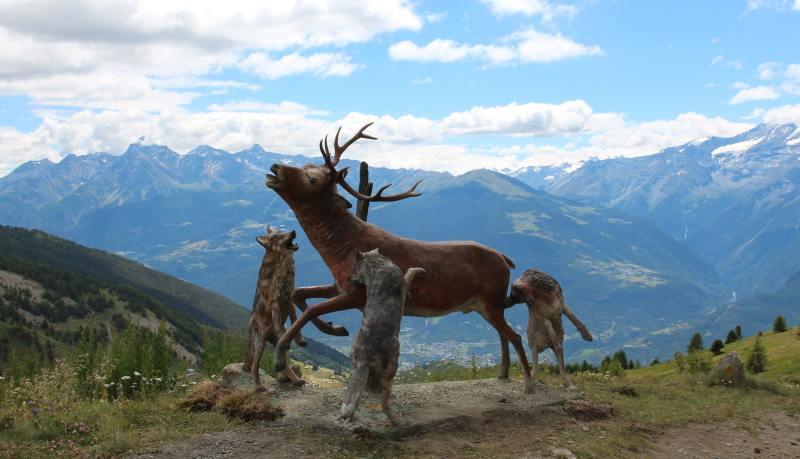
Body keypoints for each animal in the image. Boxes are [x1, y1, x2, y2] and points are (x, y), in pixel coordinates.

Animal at [242, 226, 304, 392]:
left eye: (283, 231)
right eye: (276, 237)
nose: (294, 231)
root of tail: (249, 327)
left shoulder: (288, 298)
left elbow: (296, 320)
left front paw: (300, 340)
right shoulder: (275, 302)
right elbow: (278, 324)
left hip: (274, 343)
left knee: (283, 363)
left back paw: (296, 380)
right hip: (261, 341)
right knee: (254, 365)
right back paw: (258, 387)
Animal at [338, 250, 424, 430]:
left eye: (354, 267)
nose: (349, 279)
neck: (378, 265)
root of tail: (363, 362)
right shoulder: (404, 280)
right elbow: (411, 271)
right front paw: (420, 270)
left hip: (357, 365)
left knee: (357, 398)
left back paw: (352, 419)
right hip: (392, 367)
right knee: (385, 404)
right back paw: (399, 422)